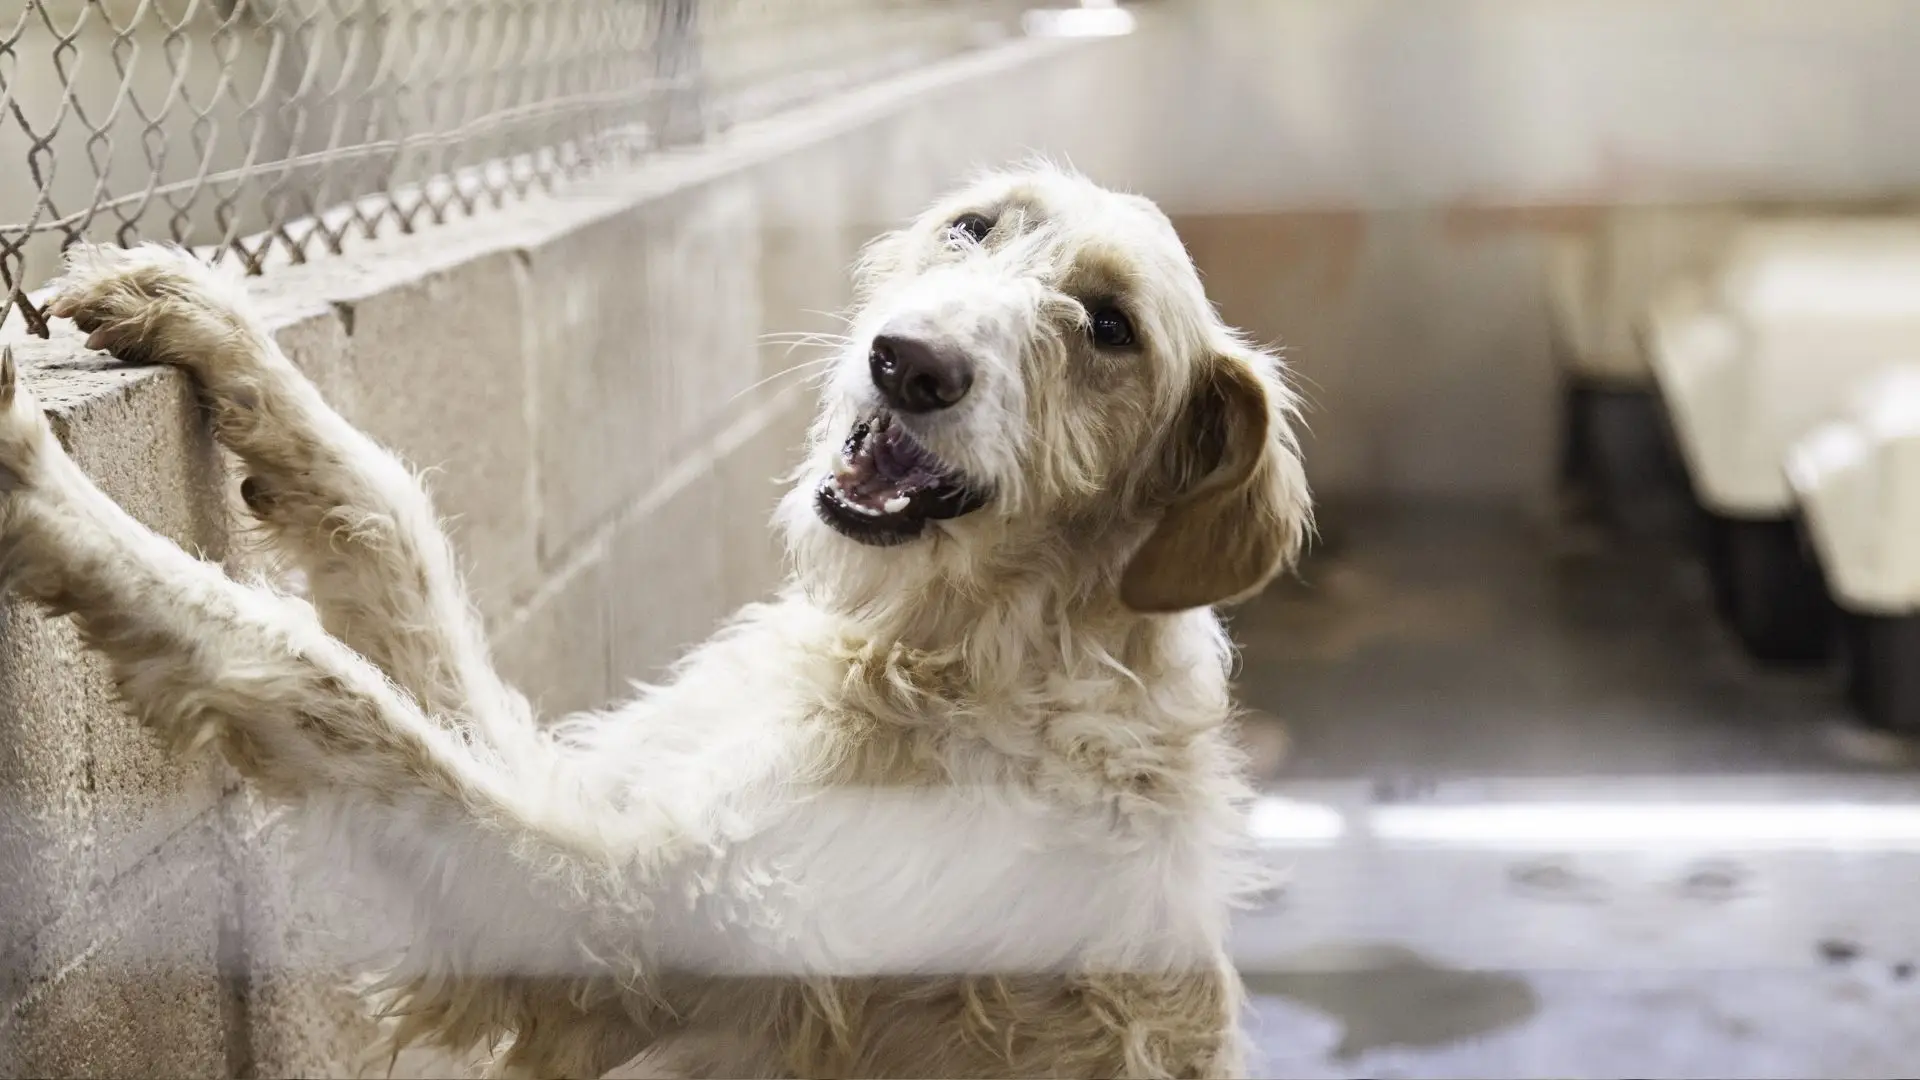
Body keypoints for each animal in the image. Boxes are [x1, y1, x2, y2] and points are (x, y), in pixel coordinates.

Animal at [0, 161, 1313, 1076]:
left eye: (1110, 327)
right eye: (975, 226)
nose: (910, 362)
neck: (951, 650)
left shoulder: (604, 924)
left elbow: (319, 684)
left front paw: (47, 493)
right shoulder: (599, 793)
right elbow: (382, 525)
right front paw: (210, 324)